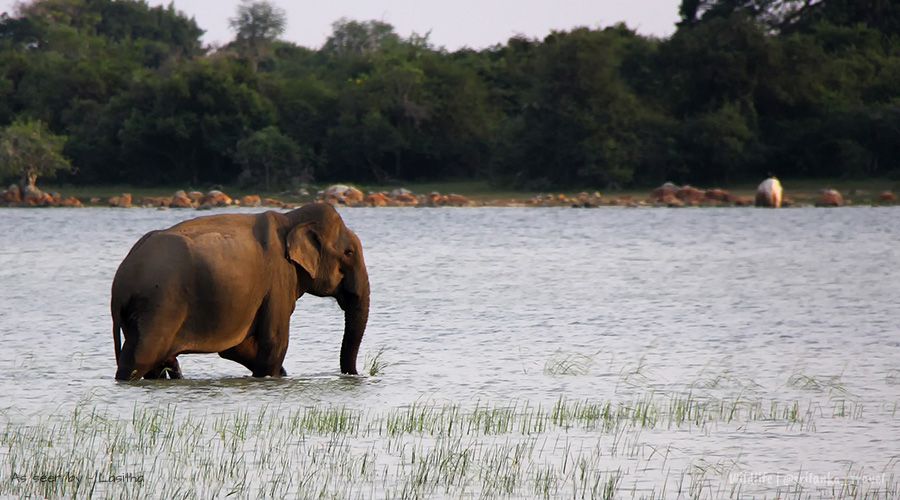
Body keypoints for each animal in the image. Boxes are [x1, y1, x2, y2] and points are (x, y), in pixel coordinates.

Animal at [111, 201, 370, 380]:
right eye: (348, 252)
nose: (355, 374)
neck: (291, 218)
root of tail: (119, 284)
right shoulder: (279, 279)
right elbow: (274, 342)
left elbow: (237, 347)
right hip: (159, 306)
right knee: (140, 358)